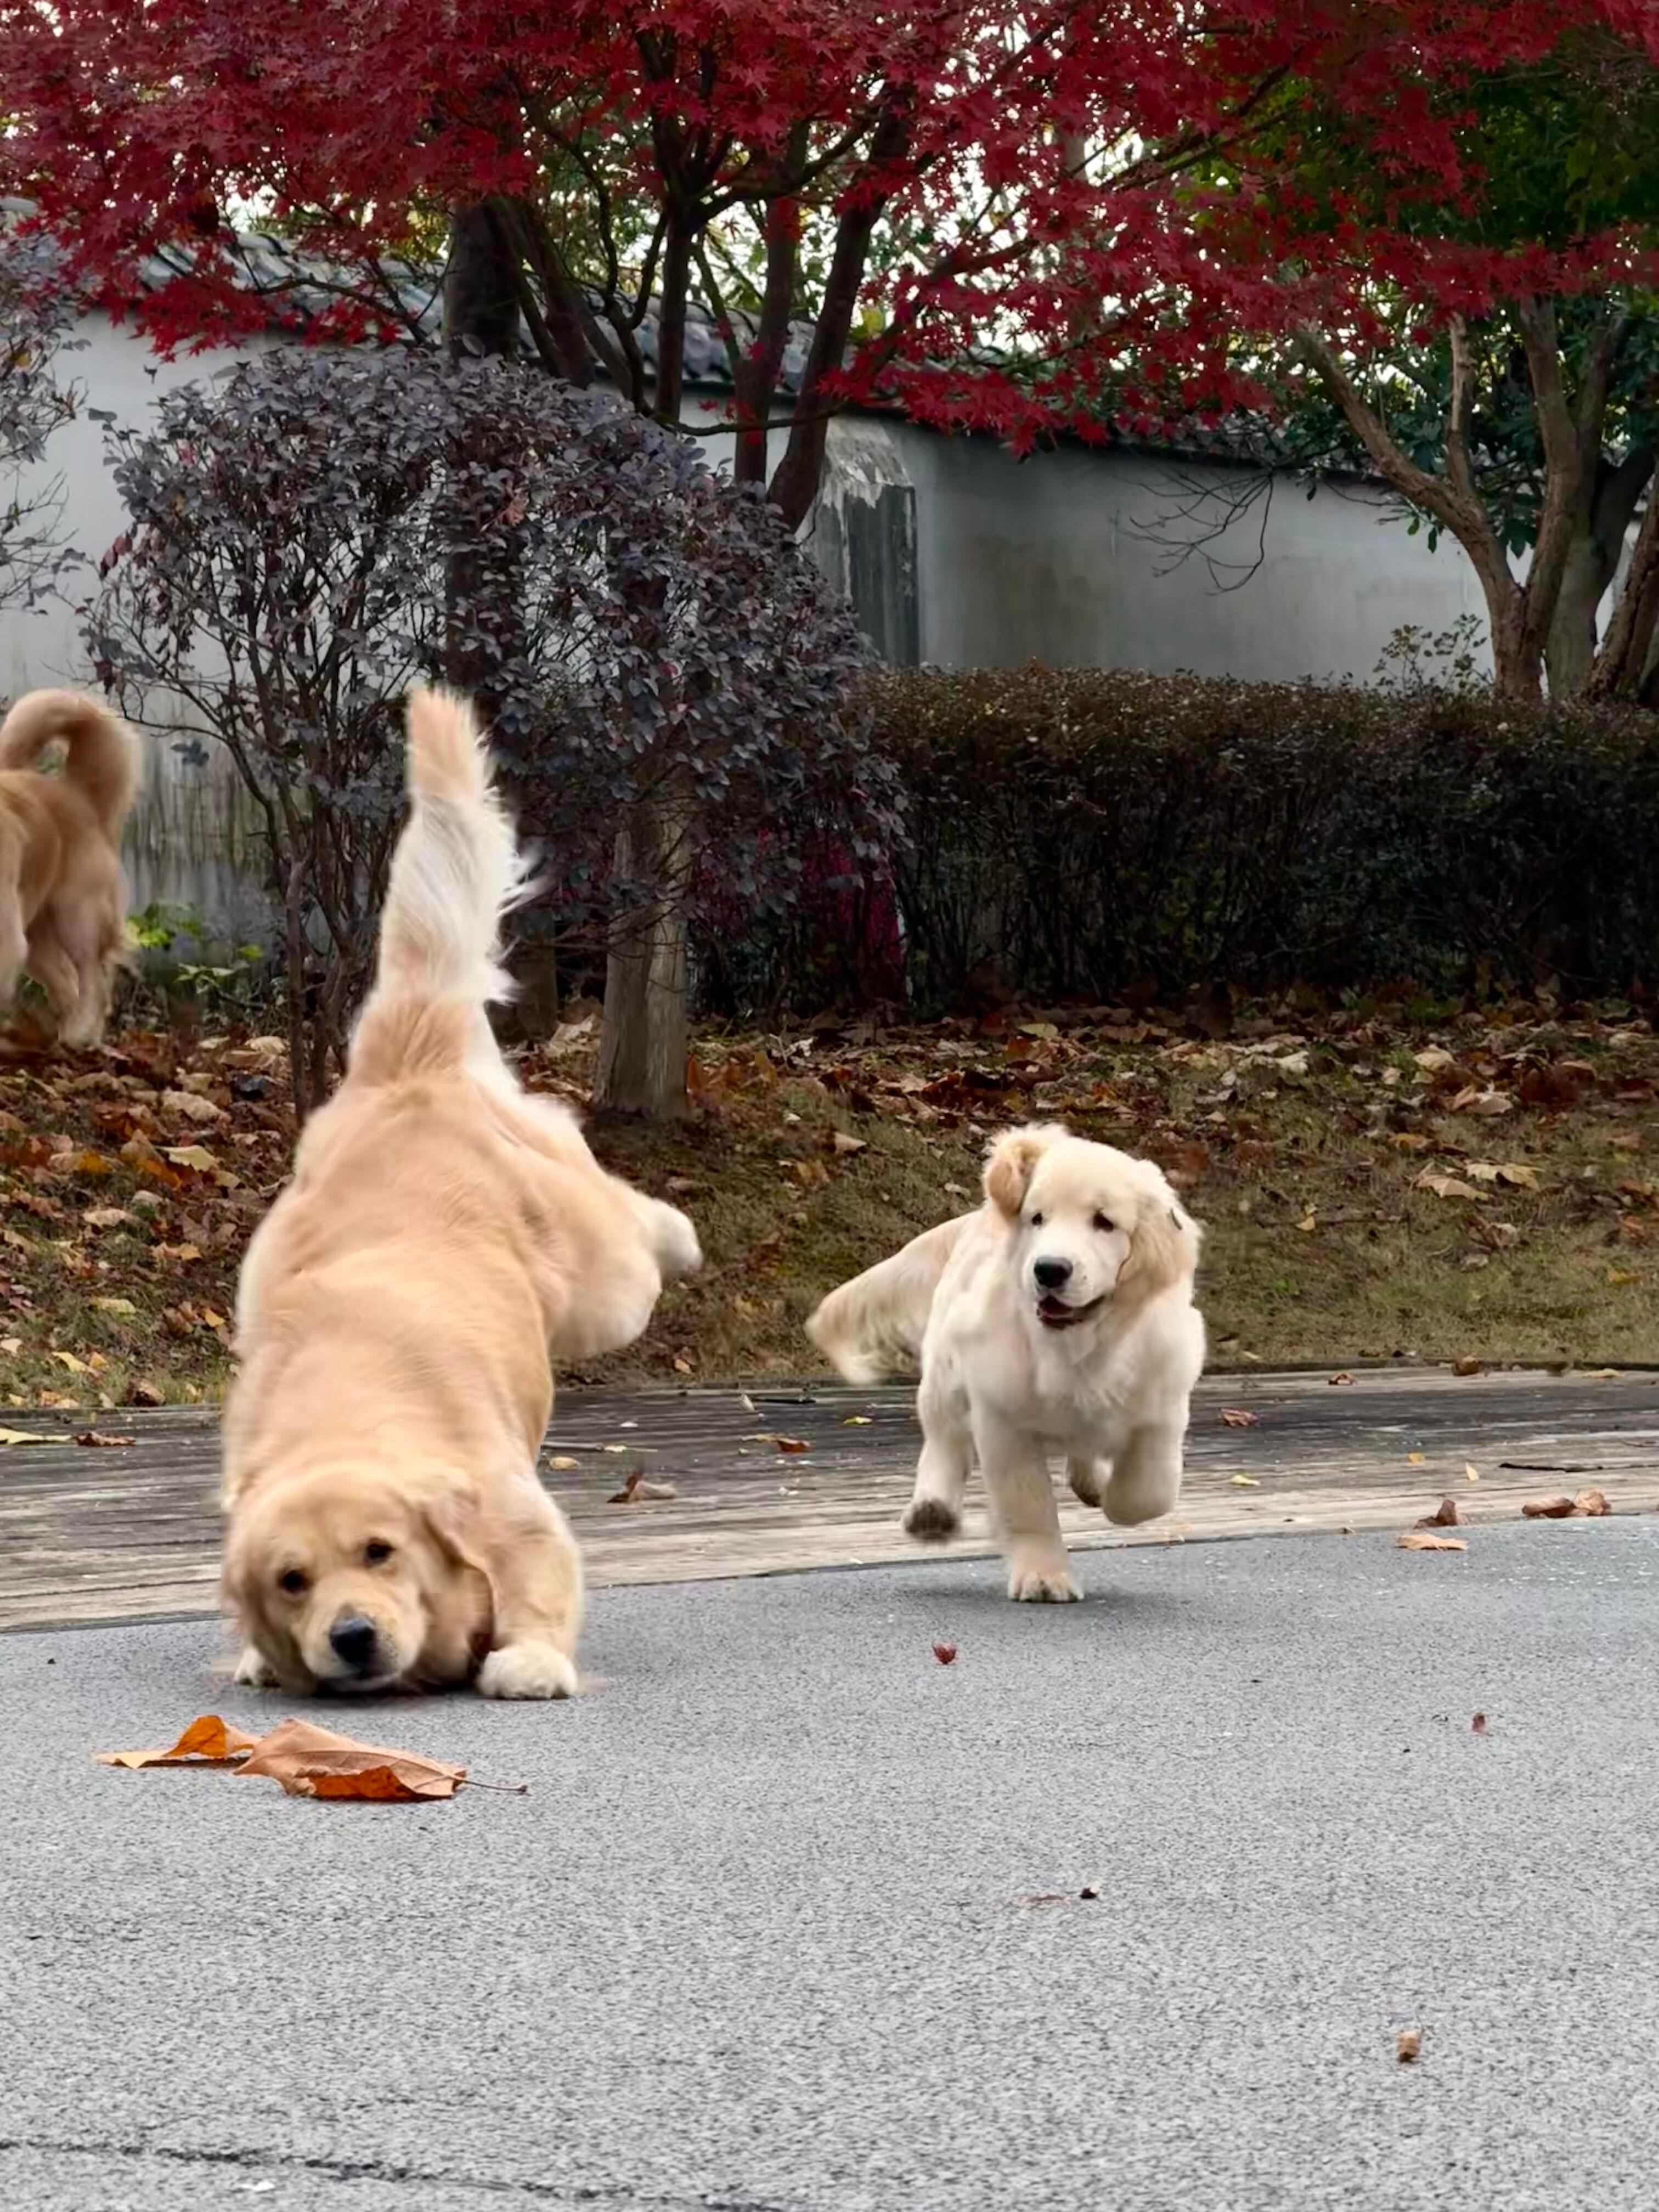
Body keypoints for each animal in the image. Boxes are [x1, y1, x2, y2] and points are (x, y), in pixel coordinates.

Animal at [0, 681, 143, 1044]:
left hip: (78, 917)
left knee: (95, 978)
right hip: (39, 938)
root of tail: (77, 792)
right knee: (68, 983)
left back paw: (79, 1035)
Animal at [219, 685, 703, 1690]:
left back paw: (677, 1231)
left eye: (380, 1552)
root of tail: (404, 1057)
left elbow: (536, 1573)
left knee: (616, 1205)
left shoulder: (506, 1506)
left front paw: (530, 1661)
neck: (341, 1403)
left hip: (599, 1281)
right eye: (292, 1580)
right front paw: (256, 1656)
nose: (350, 1636)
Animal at [809, 1132, 1212, 1601]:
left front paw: (1114, 1499)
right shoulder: (1003, 1416)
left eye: (1104, 1222)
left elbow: (1149, 1492)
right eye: (1037, 1219)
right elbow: (1028, 1504)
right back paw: (933, 1511)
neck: (1077, 1345)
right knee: (943, 1438)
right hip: (947, 1368)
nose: (1050, 1269)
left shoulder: (1161, 1404)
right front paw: (1044, 1576)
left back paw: (1091, 1481)